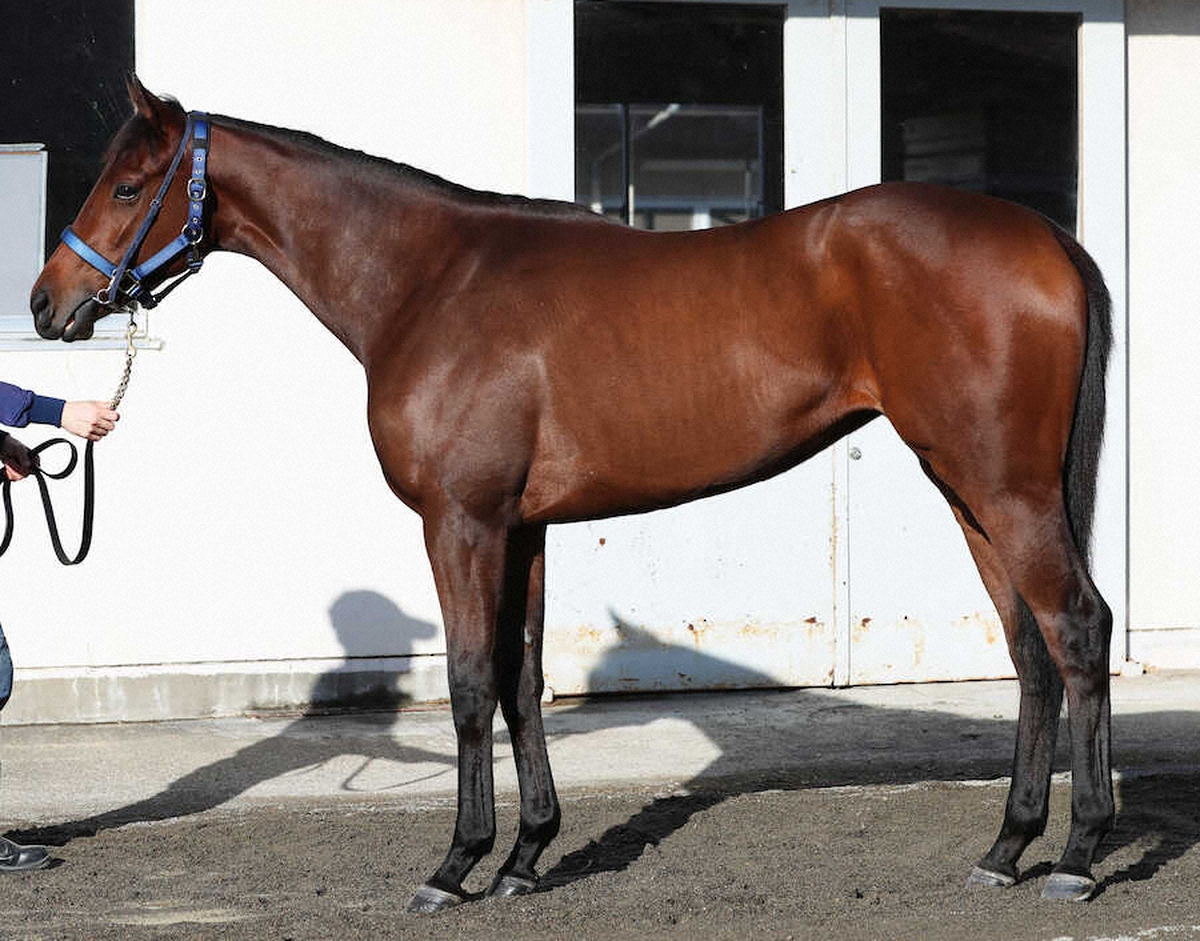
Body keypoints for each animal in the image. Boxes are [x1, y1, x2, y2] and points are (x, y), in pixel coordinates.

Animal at [31, 78, 1113, 911]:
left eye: (128, 184)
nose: (48, 304)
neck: (430, 280)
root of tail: (1049, 241)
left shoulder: (461, 522)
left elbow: (470, 682)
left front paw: (455, 864)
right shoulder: (526, 528)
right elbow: (521, 681)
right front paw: (524, 855)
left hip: (1006, 488)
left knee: (1077, 628)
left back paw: (1077, 853)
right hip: (971, 491)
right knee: (1030, 648)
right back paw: (1007, 848)